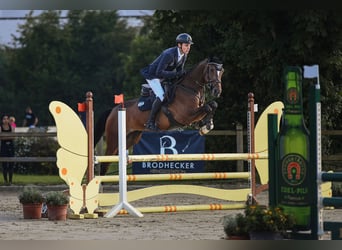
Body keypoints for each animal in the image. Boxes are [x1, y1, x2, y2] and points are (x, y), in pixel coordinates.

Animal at [95, 57, 224, 175]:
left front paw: (205, 125)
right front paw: (205, 126)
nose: (217, 91)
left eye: (222, 71)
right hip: (114, 138)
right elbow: (207, 107)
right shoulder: (185, 116)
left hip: (132, 136)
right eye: (212, 70)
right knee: (105, 163)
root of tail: (113, 110)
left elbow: (213, 104)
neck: (189, 89)